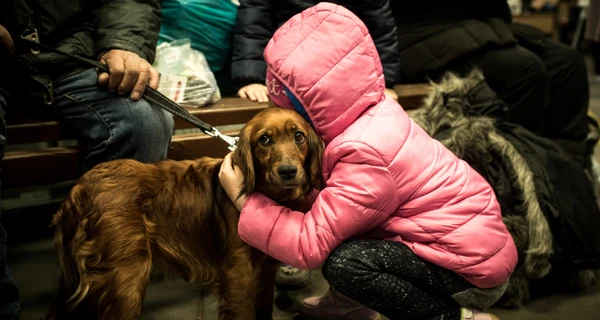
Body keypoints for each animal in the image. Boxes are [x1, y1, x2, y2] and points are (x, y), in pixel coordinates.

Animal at [45, 108, 326, 320]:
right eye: (264, 140)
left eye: (299, 136)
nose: (288, 171)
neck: (268, 194)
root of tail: (79, 188)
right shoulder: (239, 274)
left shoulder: (266, 271)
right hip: (124, 281)